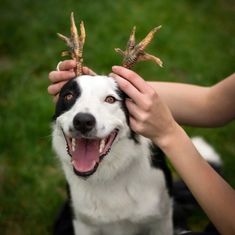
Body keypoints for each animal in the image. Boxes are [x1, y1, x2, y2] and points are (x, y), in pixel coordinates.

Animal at [51, 75, 173, 235]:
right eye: (68, 96)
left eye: (110, 99)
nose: (83, 121)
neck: (109, 176)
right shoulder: (83, 223)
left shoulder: (161, 220)